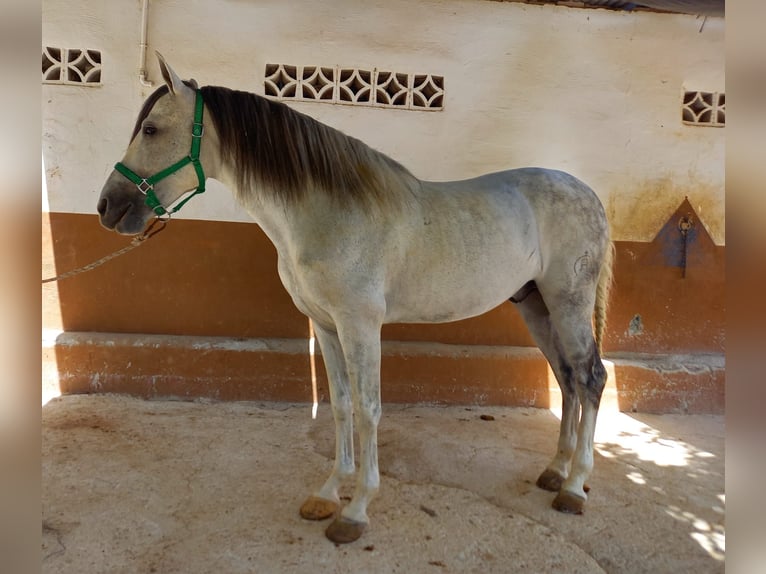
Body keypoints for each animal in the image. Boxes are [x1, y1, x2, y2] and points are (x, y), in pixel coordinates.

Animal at [97, 53, 613, 544]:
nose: (107, 207)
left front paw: (357, 509)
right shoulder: (325, 325)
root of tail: (587, 192)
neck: (326, 214)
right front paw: (329, 492)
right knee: (566, 378)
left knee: (590, 378)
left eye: (151, 128)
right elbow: (341, 404)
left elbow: (368, 409)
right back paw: (555, 471)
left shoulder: (360, 325)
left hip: (568, 303)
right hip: (536, 306)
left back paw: (573, 487)